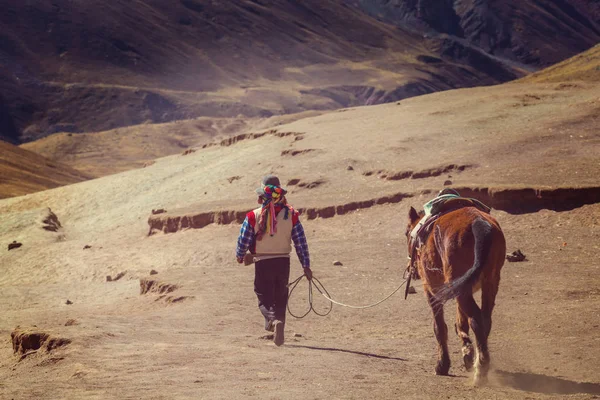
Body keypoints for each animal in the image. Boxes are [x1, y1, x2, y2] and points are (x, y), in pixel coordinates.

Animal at [408, 205, 506, 386]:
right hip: (490, 282)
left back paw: (480, 370)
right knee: (485, 320)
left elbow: (440, 327)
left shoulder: (431, 291)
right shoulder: (463, 289)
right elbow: (461, 322)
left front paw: (442, 365)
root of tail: (478, 222)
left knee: (476, 320)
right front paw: (467, 354)